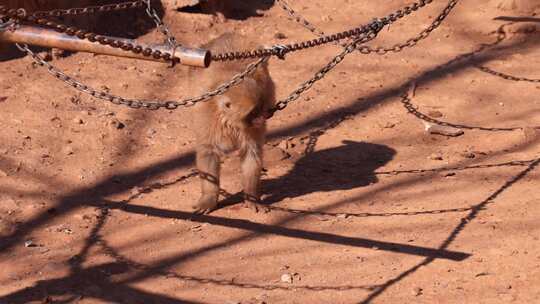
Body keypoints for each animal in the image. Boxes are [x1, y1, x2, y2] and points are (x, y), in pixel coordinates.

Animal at [189, 32, 274, 214]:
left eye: (260, 107)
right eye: (253, 112)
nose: (262, 118)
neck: (229, 120)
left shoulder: (252, 128)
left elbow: (251, 153)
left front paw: (252, 197)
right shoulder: (207, 118)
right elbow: (208, 152)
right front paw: (208, 198)